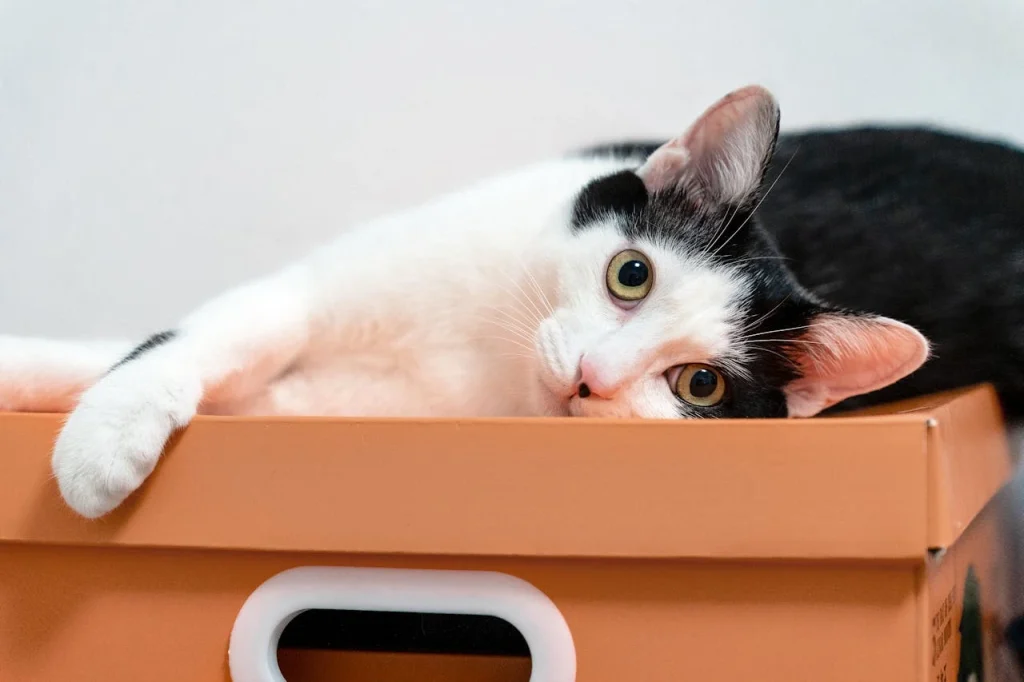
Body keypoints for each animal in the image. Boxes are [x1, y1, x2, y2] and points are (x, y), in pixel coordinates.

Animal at [0, 83, 1015, 524]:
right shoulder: (314, 295)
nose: (593, 378)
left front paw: (94, 438)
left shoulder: (331, 405)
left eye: (701, 388)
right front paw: (83, 410)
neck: (482, 346)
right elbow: (189, 334)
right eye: (630, 274)